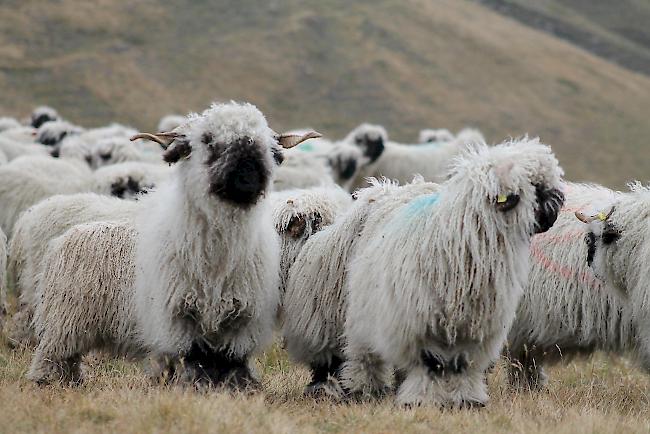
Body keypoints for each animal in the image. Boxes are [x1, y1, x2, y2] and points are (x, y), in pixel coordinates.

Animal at [29, 101, 318, 386]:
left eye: (265, 145)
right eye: (208, 140)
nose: (248, 173)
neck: (217, 258)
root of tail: (61, 240)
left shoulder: (241, 319)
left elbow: (231, 361)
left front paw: (237, 387)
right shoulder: (179, 316)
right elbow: (193, 358)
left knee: (70, 361)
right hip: (64, 322)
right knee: (53, 355)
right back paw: (46, 381)